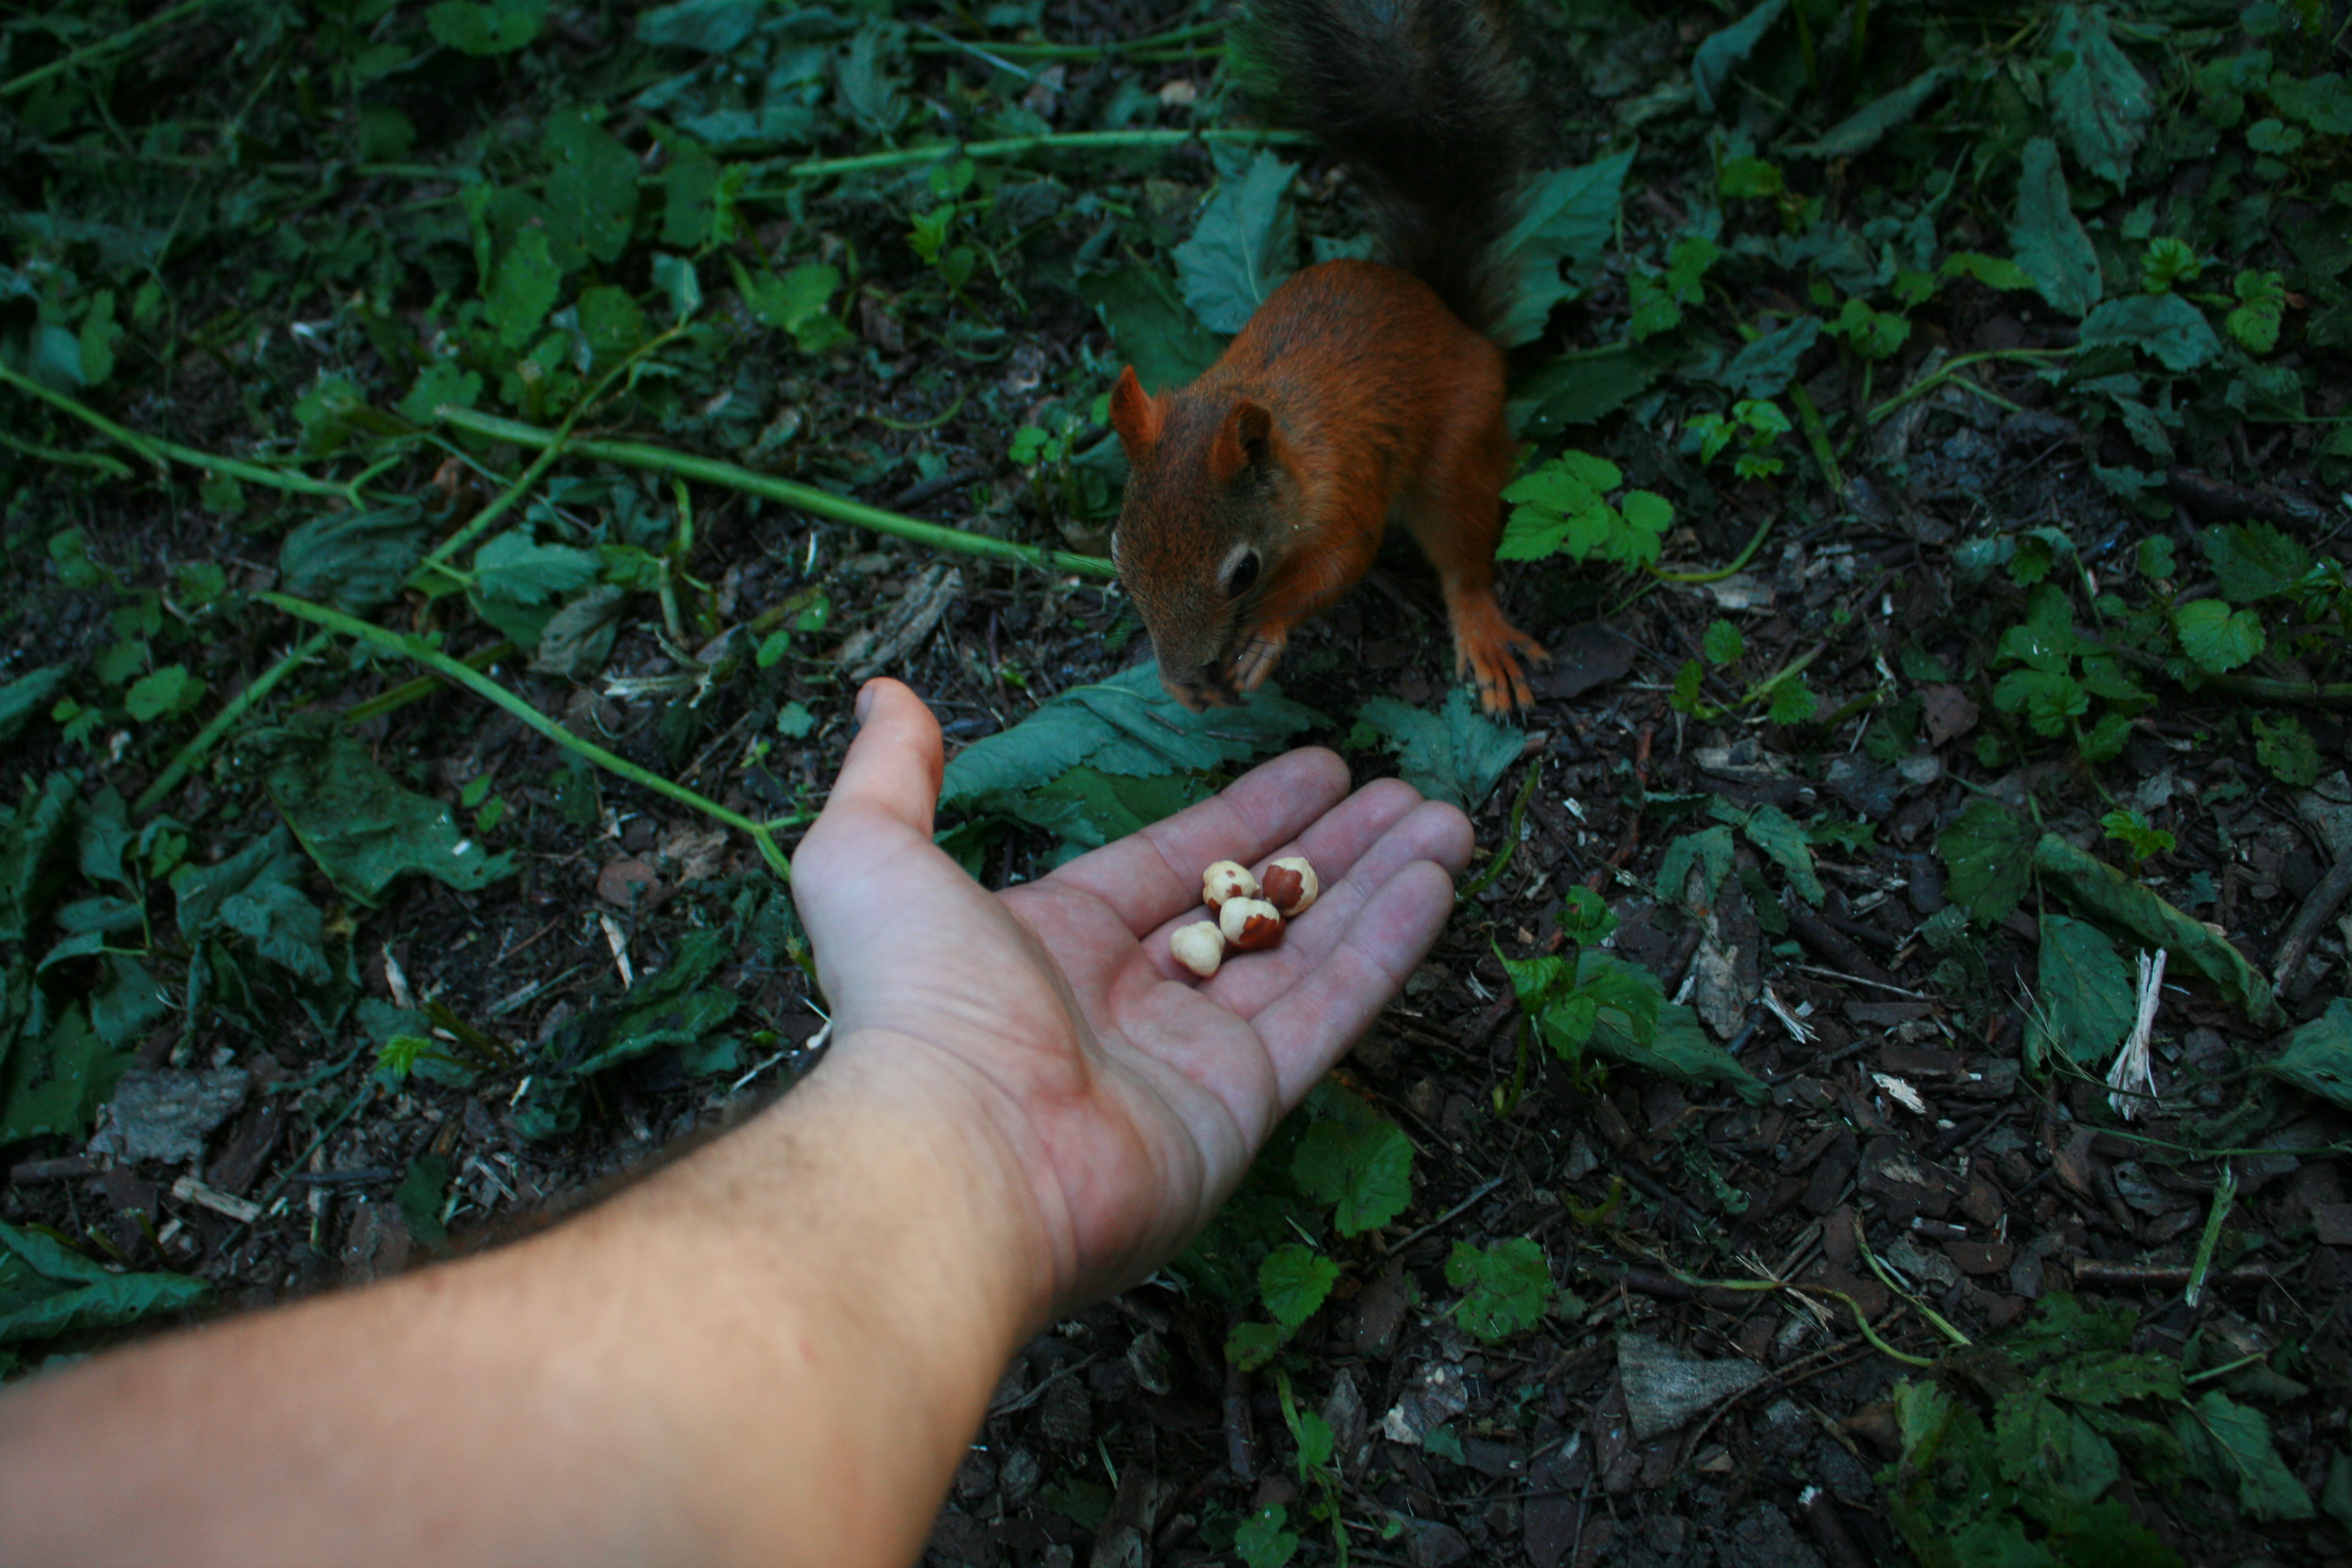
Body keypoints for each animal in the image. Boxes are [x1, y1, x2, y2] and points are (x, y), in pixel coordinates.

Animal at [1110, 0, 1552, 719]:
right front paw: (1183, 687)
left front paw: (1264, 632)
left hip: (1457, 454)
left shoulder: (1343, 487)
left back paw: (1484, 635)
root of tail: (1452, 319)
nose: (1180, 666)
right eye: (1119, 556)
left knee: (1464, 559)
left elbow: (1341, 562)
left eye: (1244, 574)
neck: (1279, 438)